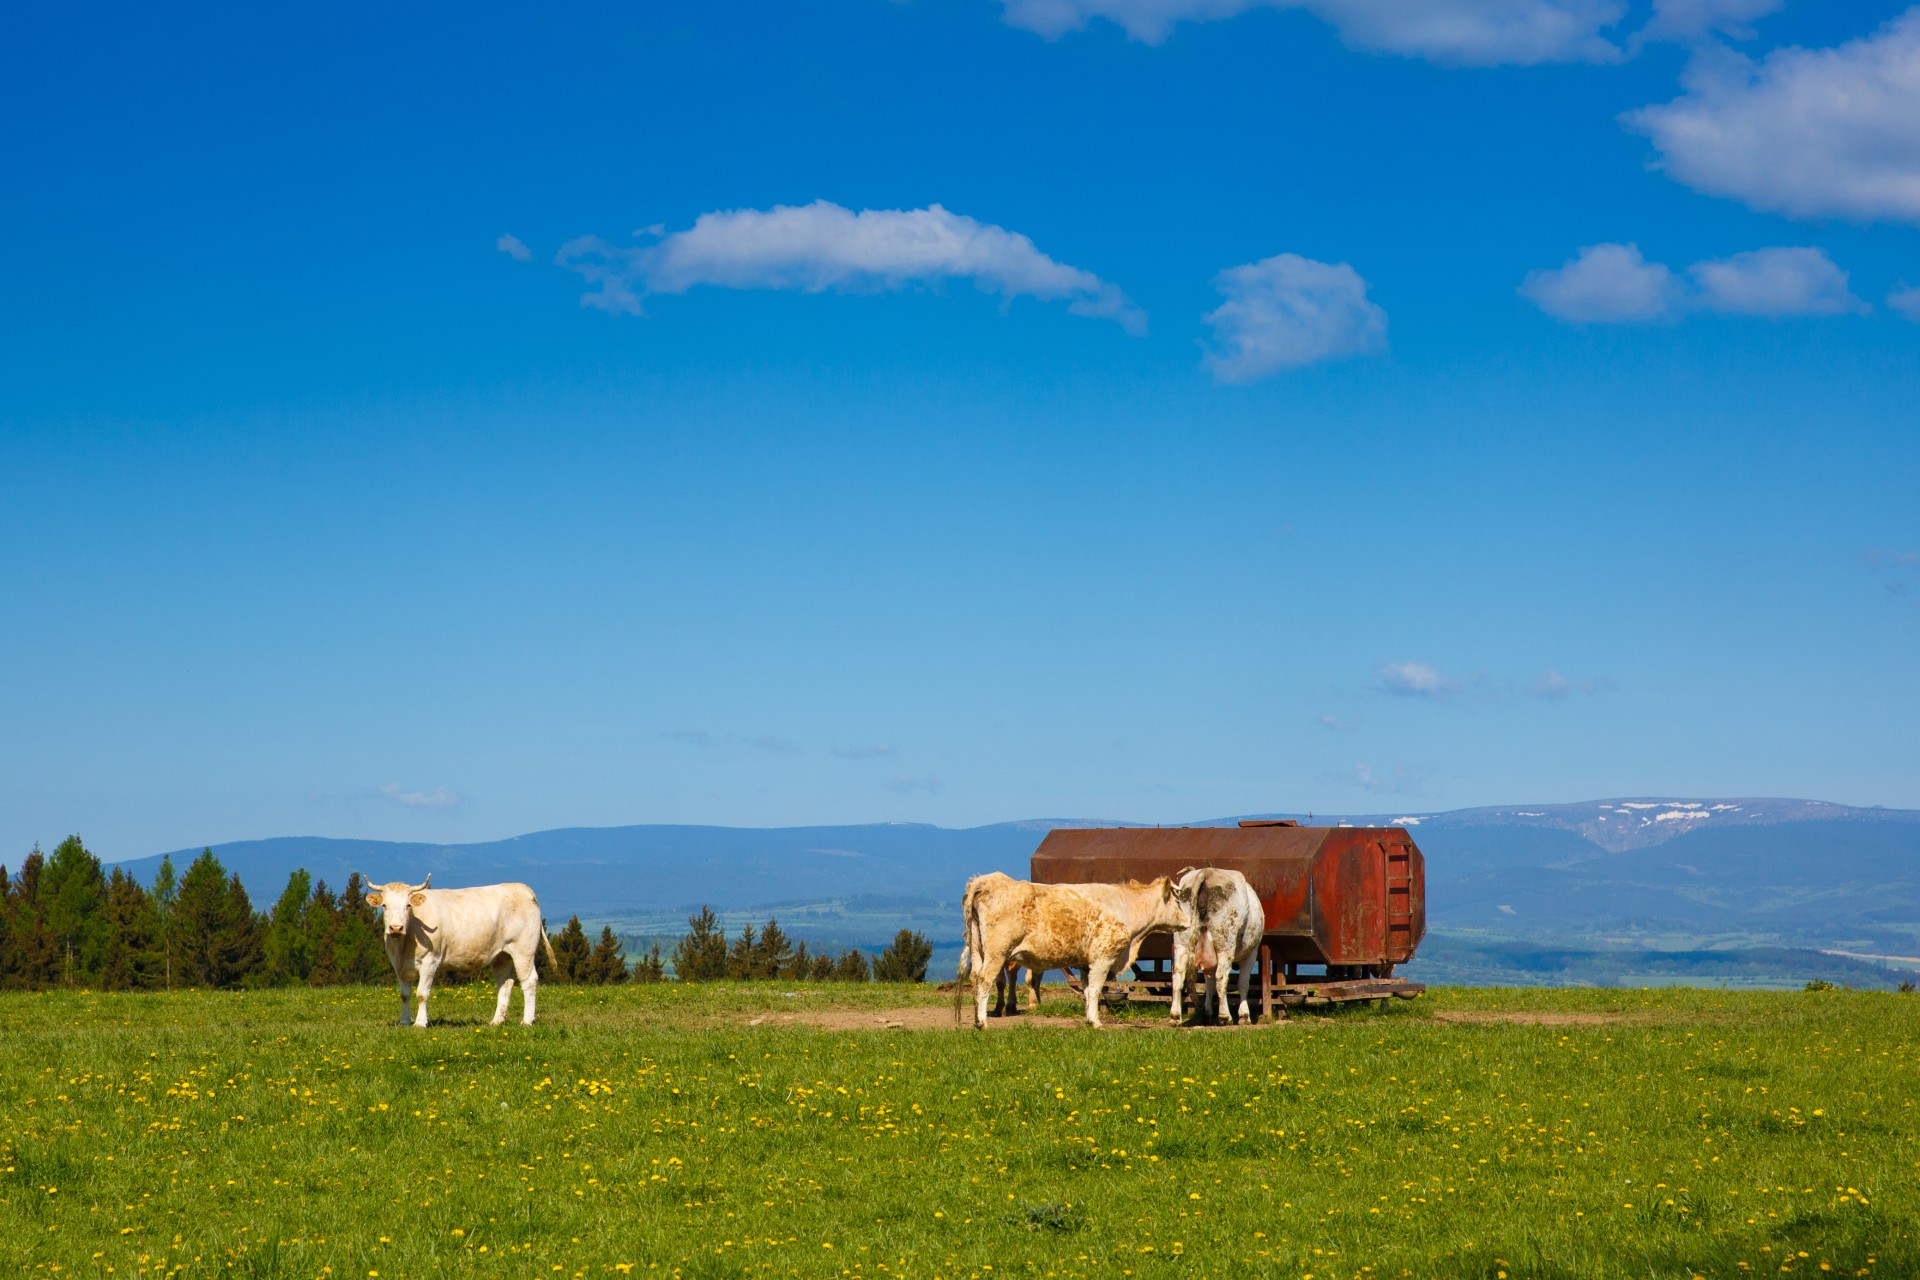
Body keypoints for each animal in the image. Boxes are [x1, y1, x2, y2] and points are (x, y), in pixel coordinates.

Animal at [362, 875, 556, 1028]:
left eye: (408, 906)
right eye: (384, 906)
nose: (396, 928)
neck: (403, 946)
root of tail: (522, 888)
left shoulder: (430, 961)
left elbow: (421, 994)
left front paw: (420, 1023)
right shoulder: (398, 966)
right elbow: (404, 995)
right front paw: (404, 1022)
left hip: (523, 950)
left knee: (529, 981)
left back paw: (527, 1021)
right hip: (501, 956)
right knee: (505, 984)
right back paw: (496, 1021)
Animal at [956, 871, 1190, 1028]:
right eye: (1177, 901)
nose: (1187, 922)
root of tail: (986, 880)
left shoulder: (1085, 964)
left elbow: (1087, 990)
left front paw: (1089, 1018)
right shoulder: (1102, 958)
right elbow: (1095, 989)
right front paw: (1095, 1022)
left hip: (978, 951)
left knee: (975, 978)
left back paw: (977, 1019)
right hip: (997, 953)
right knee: (985, 980)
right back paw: (982, 1022)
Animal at [1159, 867, 1267, 1028]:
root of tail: (1206, 872)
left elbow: (1209, 985)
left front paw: (1207, 1013)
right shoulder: (1251, 953)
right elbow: (1243, 983)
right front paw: (1244, 1016)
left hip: (1182, 941)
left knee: (1178, 975)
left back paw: (1175, 1016)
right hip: (1225, 942)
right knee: (1221, 977)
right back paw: (1225, 1016)